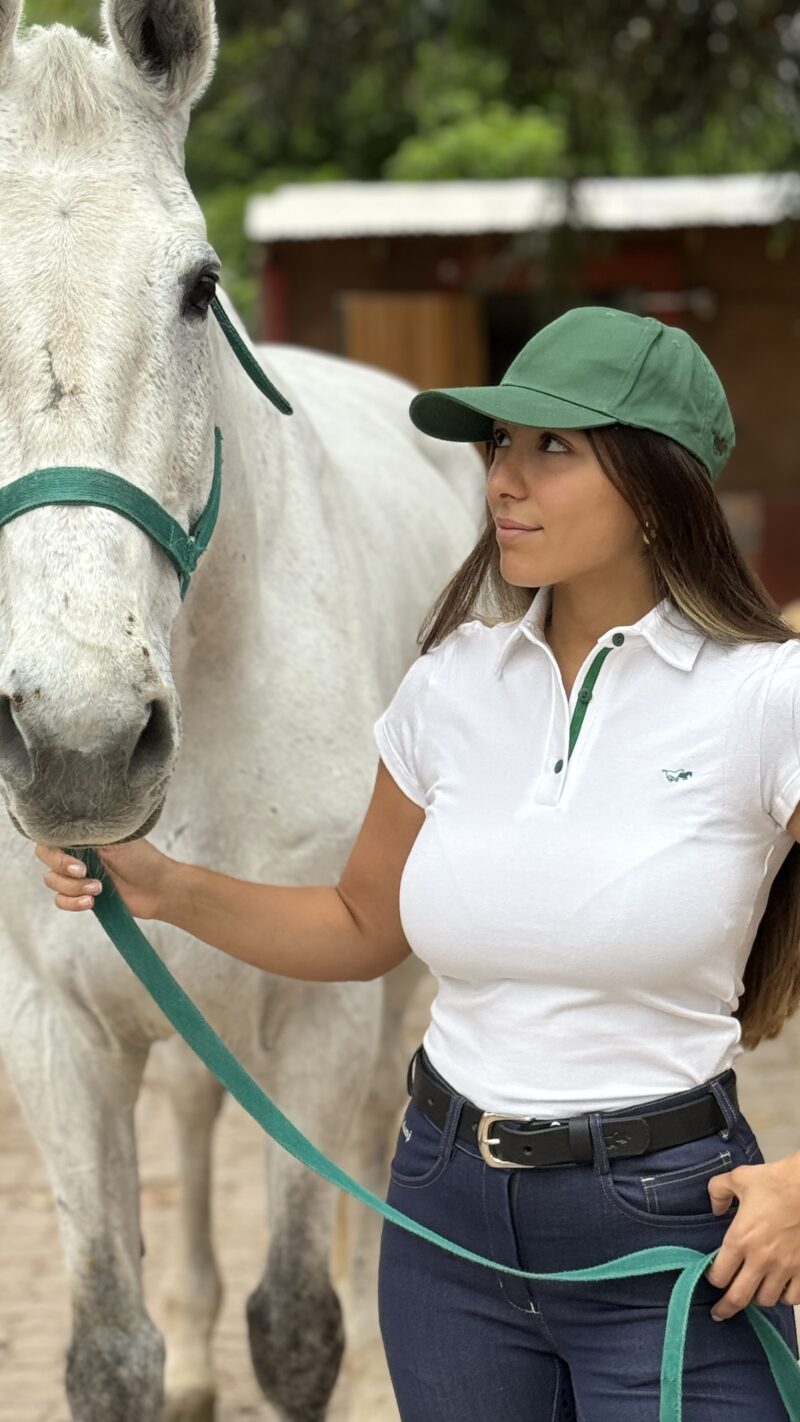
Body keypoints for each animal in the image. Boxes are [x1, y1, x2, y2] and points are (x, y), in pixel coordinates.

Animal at [0, 5, 485, 1416]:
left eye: (198, 287)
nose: (82, 743)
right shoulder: (53, 1029)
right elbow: (108, 1349)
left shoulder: (319, 1011)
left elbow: (298, 1323)